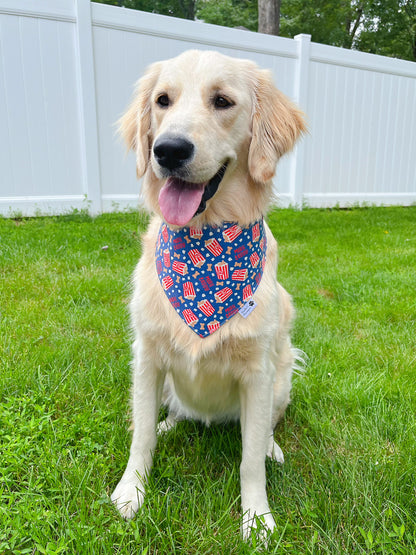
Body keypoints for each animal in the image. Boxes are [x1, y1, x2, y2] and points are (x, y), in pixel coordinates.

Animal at [110, 51, 306, 540]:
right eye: (163, 100)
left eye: (222, 101)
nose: (168, 150)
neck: (204, 246)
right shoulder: (146, 357)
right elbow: (141, 437)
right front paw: (131, 492)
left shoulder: (257, 374)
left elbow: (249, 461)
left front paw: (257, 518)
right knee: (169, 416)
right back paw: (171, 423)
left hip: (281, 379)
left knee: (265, 430)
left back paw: (272, 446)